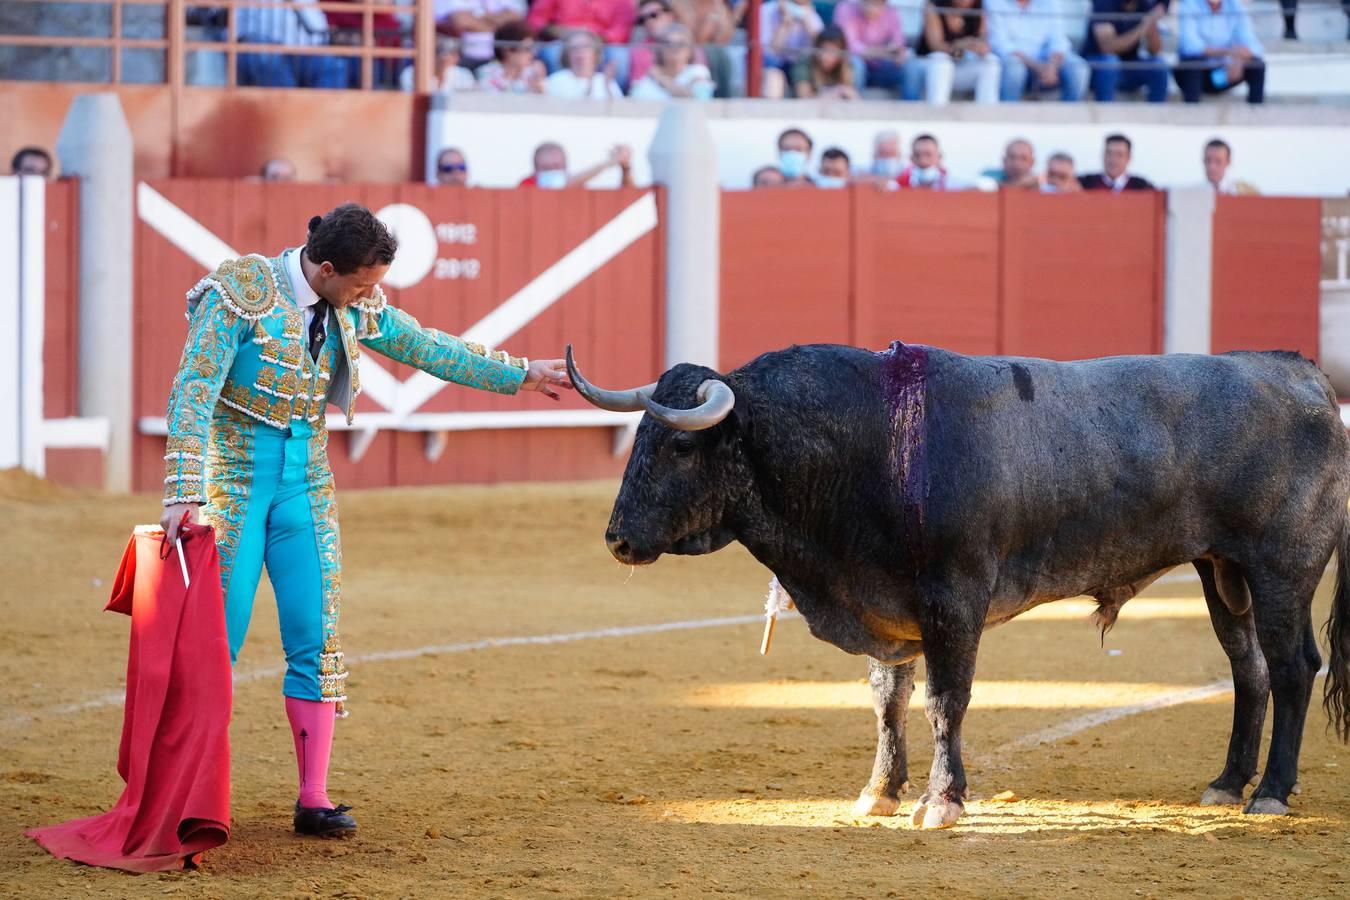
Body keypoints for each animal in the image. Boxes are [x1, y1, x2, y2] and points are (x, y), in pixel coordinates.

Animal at [567, 340, 1350, 831]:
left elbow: (946, 702)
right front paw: (879, 793)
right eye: (639, 440)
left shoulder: (954, 602)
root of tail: (1301, 374)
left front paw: (942, 801)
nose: (616, 540)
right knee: (1248, 670)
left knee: (1292, 668)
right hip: (1222, 571)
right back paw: (1226, 784)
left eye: (679, 444)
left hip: (1281, 568)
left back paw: (1269, 794)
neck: (875, 442)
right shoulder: (889, 609)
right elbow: (888, 702)